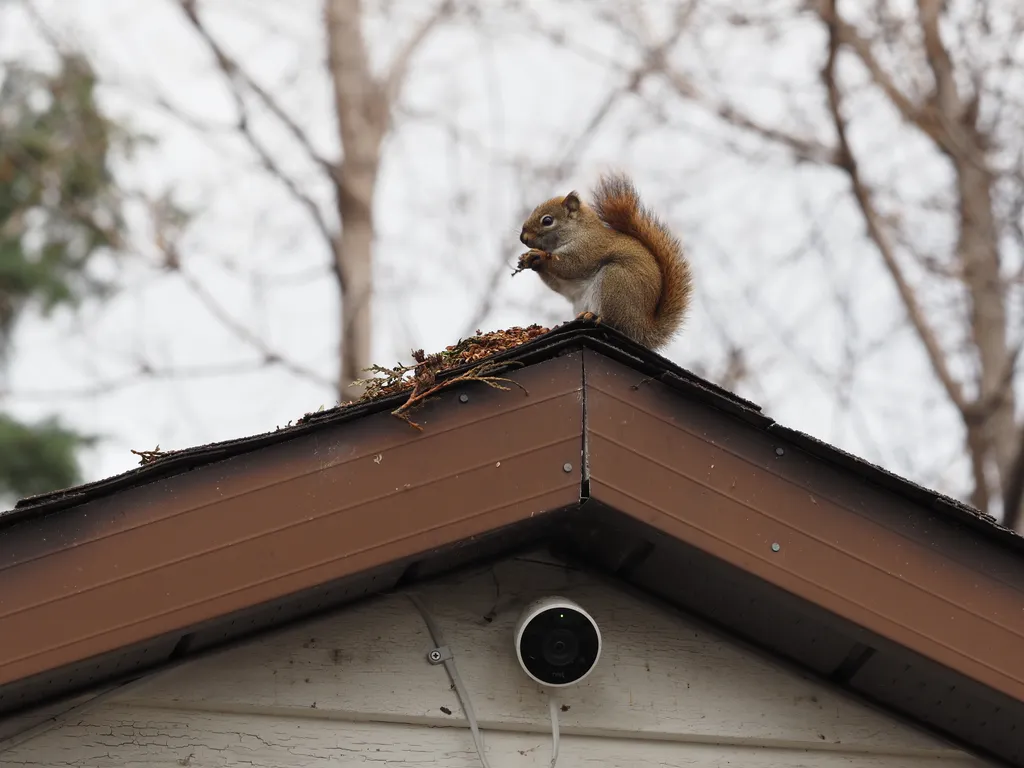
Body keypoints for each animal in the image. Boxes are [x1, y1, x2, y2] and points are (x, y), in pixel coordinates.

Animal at [516, 172, 692, 352]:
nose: (523, 238)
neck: (579, 230)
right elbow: (558, 284)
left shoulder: (589, 247)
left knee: (613, 322)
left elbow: (571, 266)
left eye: (547, 221)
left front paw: (540, 257)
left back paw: (594, 316)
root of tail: (642, 329)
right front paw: (528, 260)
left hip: (615, 281)